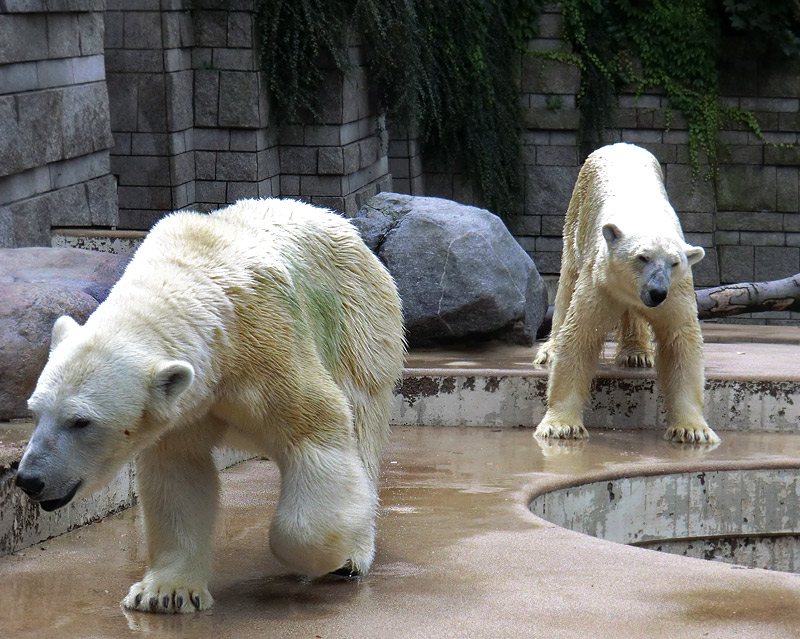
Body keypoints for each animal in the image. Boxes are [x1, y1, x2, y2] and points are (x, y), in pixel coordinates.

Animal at [14, 198, 406, 612]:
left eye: (81, 421)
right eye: (35, 412)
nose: (30, 480)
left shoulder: (267, 344)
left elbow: (317, 427)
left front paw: (321, 556)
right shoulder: (184, 406)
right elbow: (179, 474)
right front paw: (165, 592)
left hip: (357, 328)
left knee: (361, 426)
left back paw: (354, 554)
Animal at [532, 144, 720, 444]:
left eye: (674, 263)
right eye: (642, 257)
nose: (657, 292)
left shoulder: (677, 291)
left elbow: (680, 343)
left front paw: (693, 429)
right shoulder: (600, 281)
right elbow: (579, 335)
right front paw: (561, 426)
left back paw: (637, 354)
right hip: (577, 213)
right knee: (566, 281)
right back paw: (549, 349)